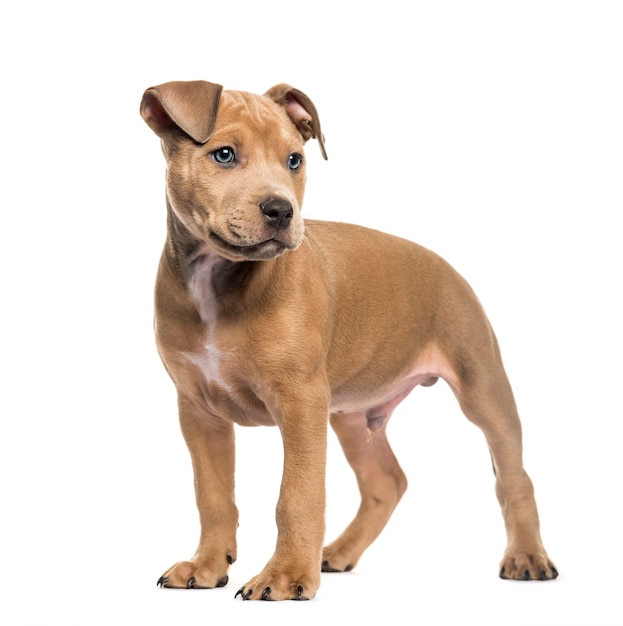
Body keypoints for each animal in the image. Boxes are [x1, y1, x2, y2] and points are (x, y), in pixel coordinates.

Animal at [139, 80, 560, 596]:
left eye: (295, 160)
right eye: (223, 154)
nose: (281, 210)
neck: (220, 280)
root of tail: (444, 263)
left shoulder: (300, 402)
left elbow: (297, 495)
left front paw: (284, 576)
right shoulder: (198, 411)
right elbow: (213, 494)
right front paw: (207, 565)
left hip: (483, 388)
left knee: (514, 477)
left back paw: (527, 556)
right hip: (353, 413)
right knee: (386, 482)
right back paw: (336, 554)